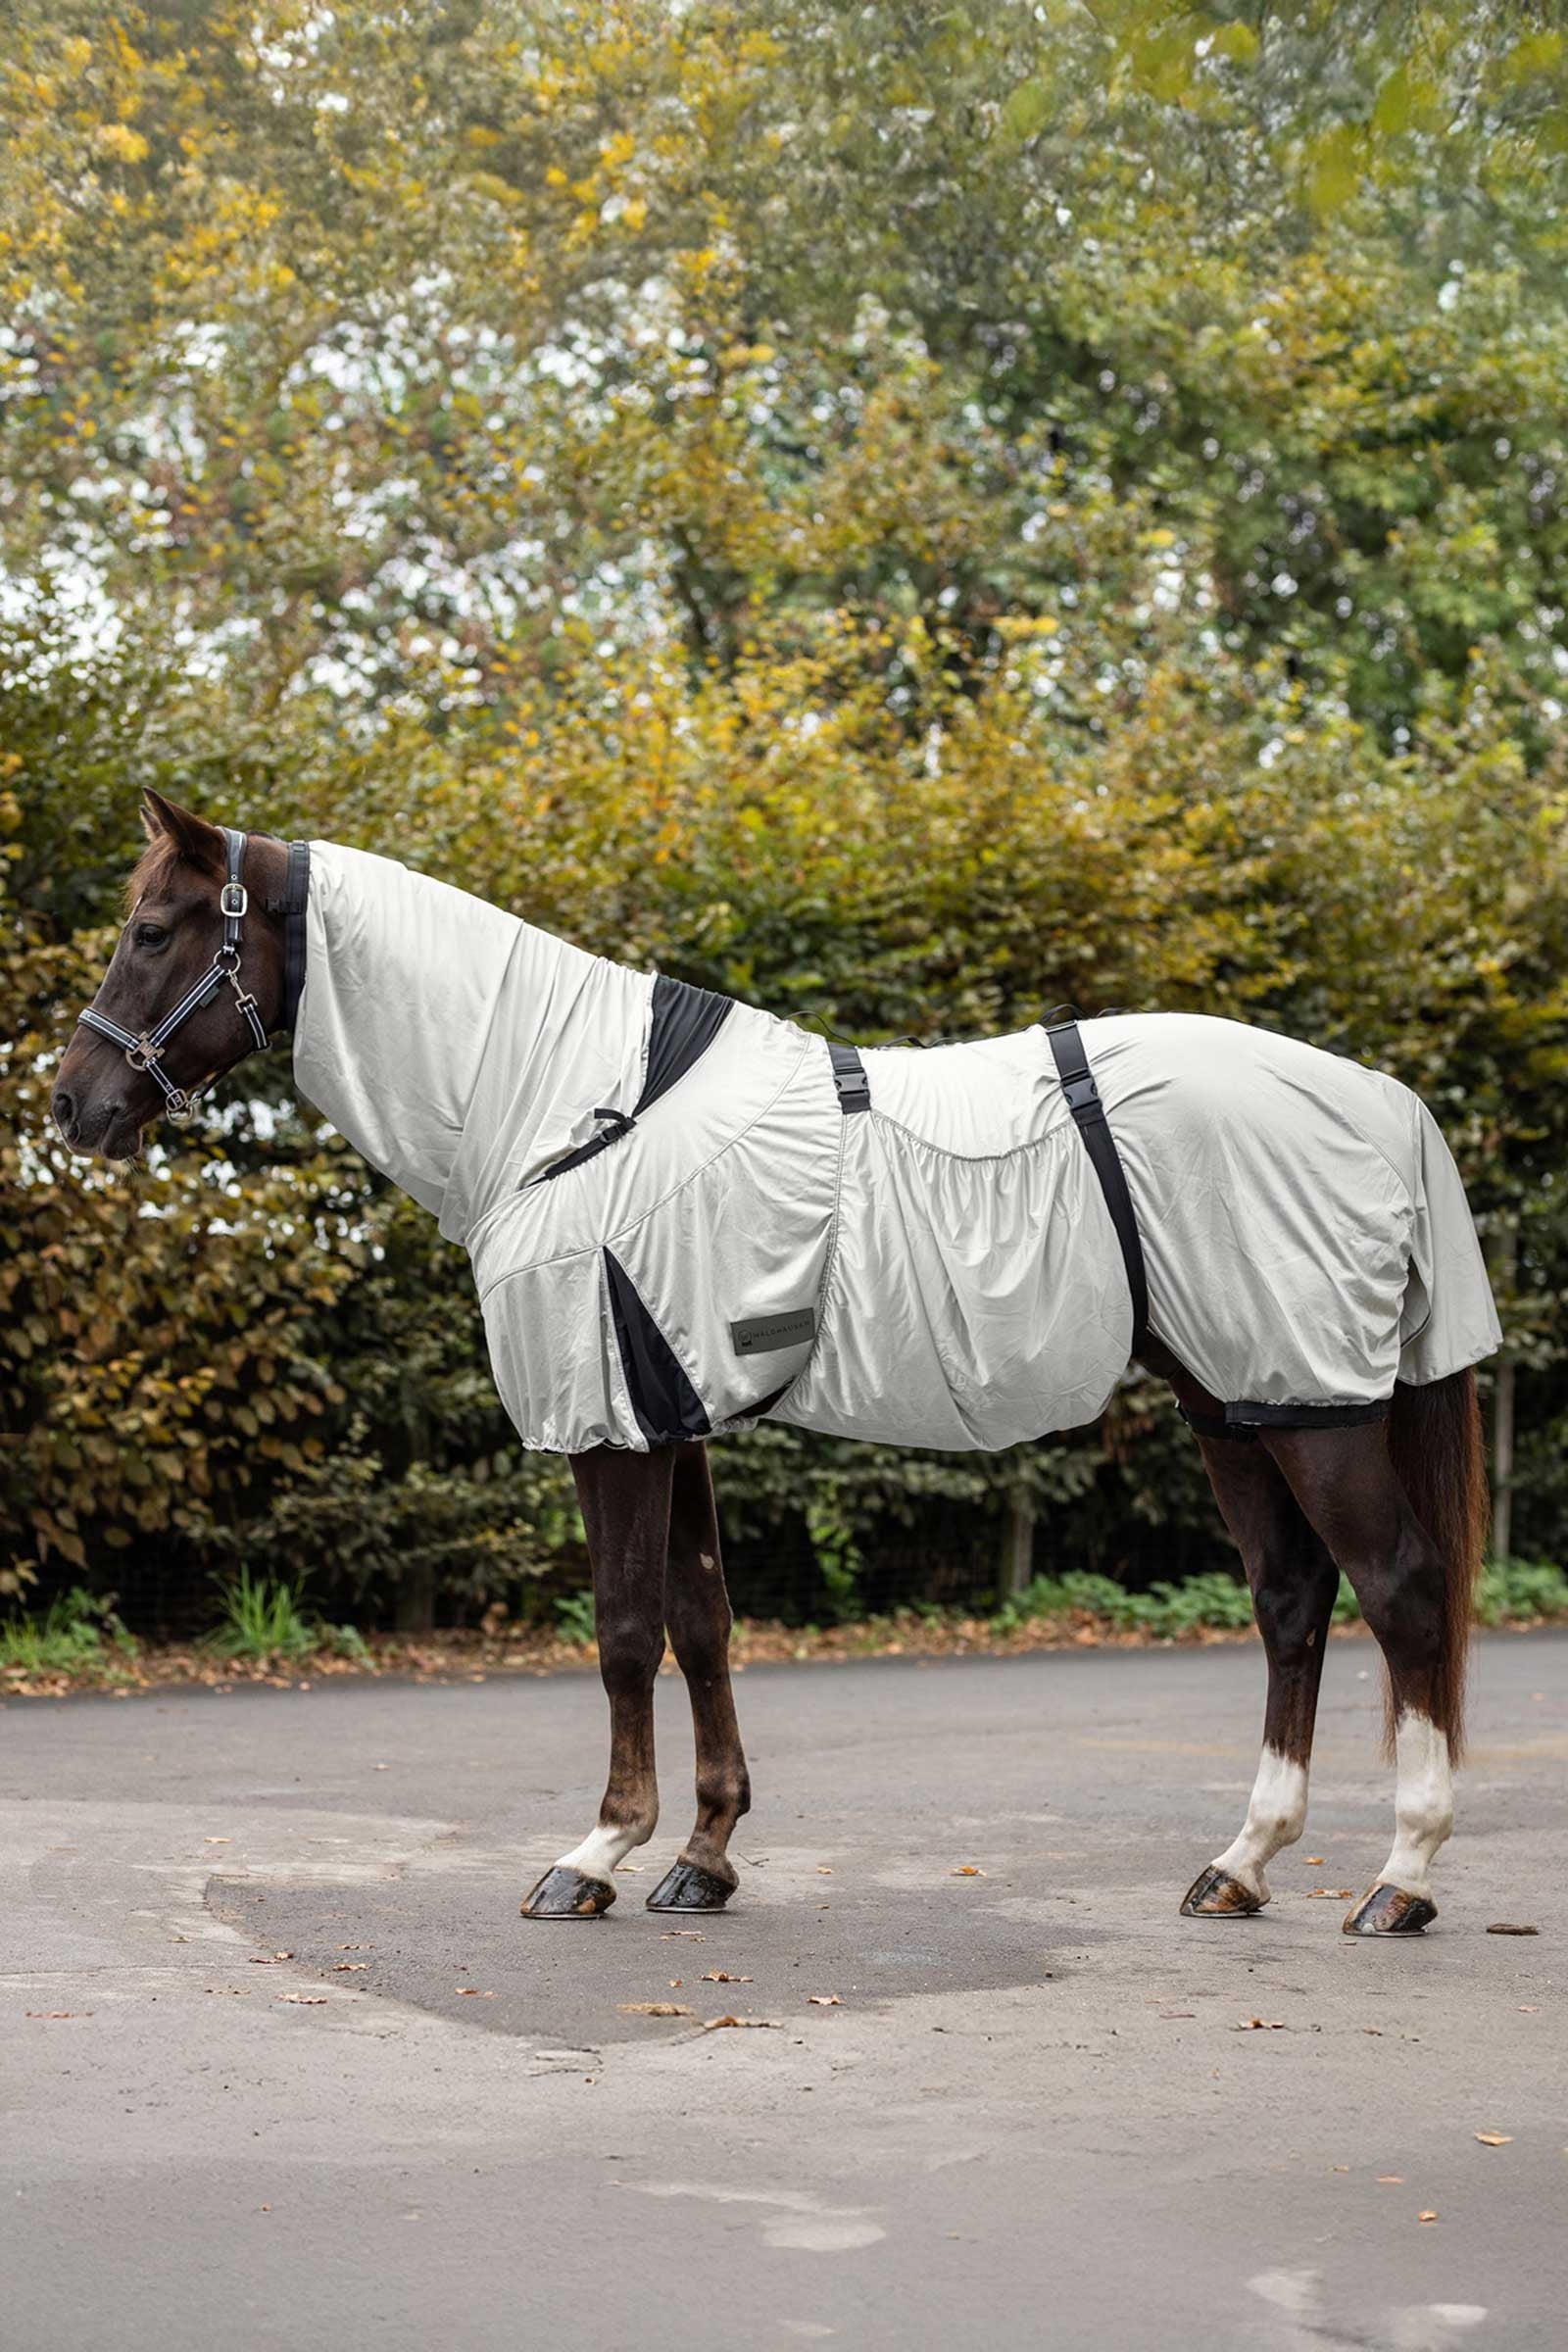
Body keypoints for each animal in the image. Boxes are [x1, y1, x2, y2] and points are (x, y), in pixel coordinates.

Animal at [53, 791, 1500, 1937]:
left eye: (153, 930)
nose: (72, 1104)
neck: (567, 1103)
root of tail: (1381, 1097)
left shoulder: (611, 1428)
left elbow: (625, 1632)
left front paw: (594, 1855)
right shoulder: (668, 1411)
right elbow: (701, 1623)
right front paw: (702, 1858)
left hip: (1314, 1411)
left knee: (1402, 1593)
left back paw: (1404, 1879)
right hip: (1239, 1401)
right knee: (1291, 1603)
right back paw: (1241, 1864)